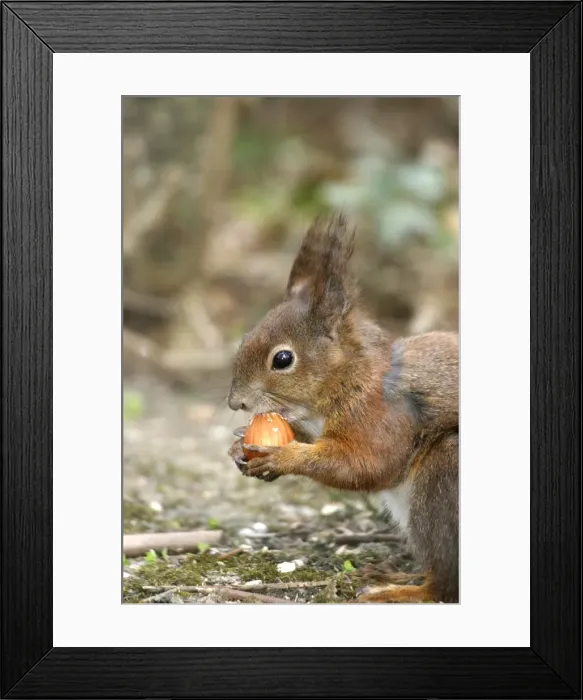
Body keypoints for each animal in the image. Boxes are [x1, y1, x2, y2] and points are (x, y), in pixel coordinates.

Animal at [227, 214, 459, 603]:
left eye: (282, 359)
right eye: (244, 339)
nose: (235, 402)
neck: (350, 375)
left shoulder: (380, 415)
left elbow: (366, 464)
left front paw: (283, 457)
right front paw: (238, 445)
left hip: (444, 482)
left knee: (444, 585)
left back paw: (395, 590)